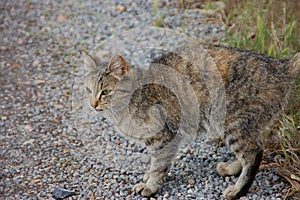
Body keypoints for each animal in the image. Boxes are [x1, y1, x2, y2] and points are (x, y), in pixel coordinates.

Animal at [82, 43, 300, 199]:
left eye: (106, 91)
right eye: (88, 90)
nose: (92, 104)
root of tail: (280, 66)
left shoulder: (164, 137)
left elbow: (158, 164)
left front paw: (151, 185)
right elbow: (153, 161)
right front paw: (148, 175)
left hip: (230, 121)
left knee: (253, 152)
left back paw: (238, 190)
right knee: (251, 149)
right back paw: (231, 169)